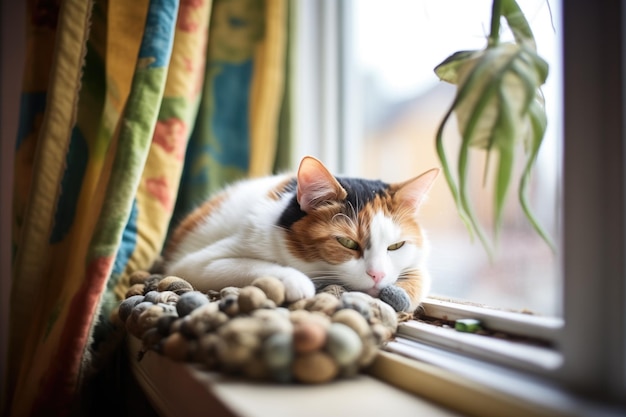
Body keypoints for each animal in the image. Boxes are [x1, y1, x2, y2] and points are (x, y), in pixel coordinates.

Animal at [166, 156, 438, 312]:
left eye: (396, 246)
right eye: (347, 242)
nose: (377, 275)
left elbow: (421, 276)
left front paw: (400, 293)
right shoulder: (195, 264)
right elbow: (257, 265)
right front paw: (297, 281)